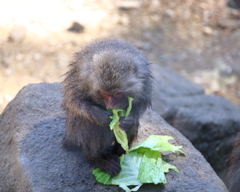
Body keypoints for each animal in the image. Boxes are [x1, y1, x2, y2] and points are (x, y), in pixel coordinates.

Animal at [62, 39, 152, 176]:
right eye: (104, 94)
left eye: (118, 94)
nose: (111, 105)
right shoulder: (81, 78)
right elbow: (74, 100)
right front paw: (102, 117)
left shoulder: (144, 77)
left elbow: (143, 101)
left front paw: (129, 120)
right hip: (75, 132)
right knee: (90, 126)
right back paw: (97, 159)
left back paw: (119, 153)